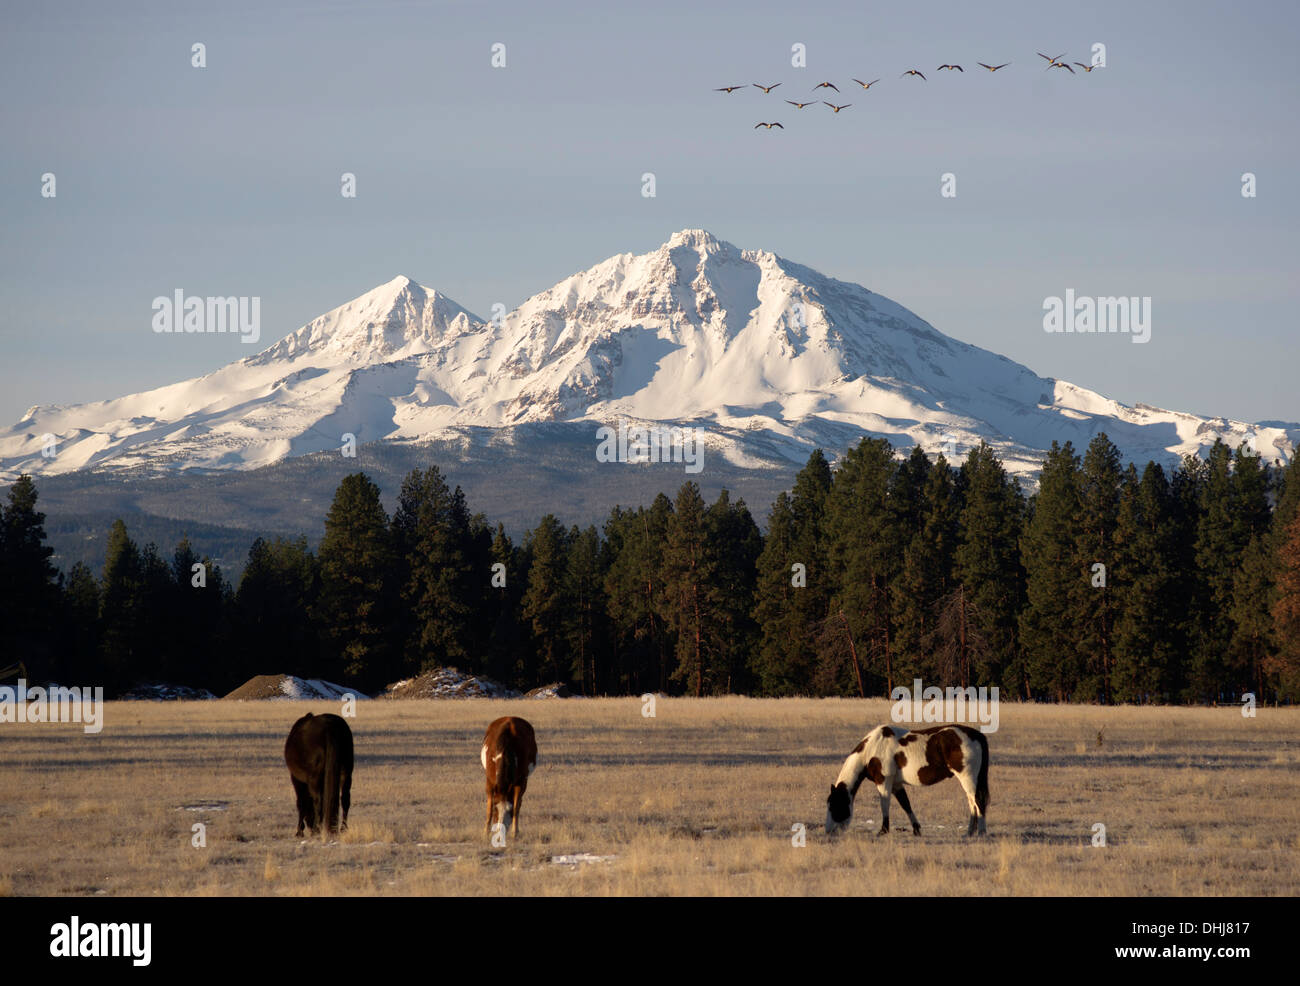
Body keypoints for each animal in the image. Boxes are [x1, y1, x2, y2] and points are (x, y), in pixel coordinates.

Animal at [825, 724, 989, 837]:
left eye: (835, 805)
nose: (828, 831)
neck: (872, 749)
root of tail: (977, 735)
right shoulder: (896, 785)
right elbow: (906, 805)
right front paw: (916, 830)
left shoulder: (884, 782)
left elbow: (885, 805)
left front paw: (883, 831)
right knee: (972, 803)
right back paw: (969, 832)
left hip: (968, 778)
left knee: (978, 801)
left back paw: (981, 832)